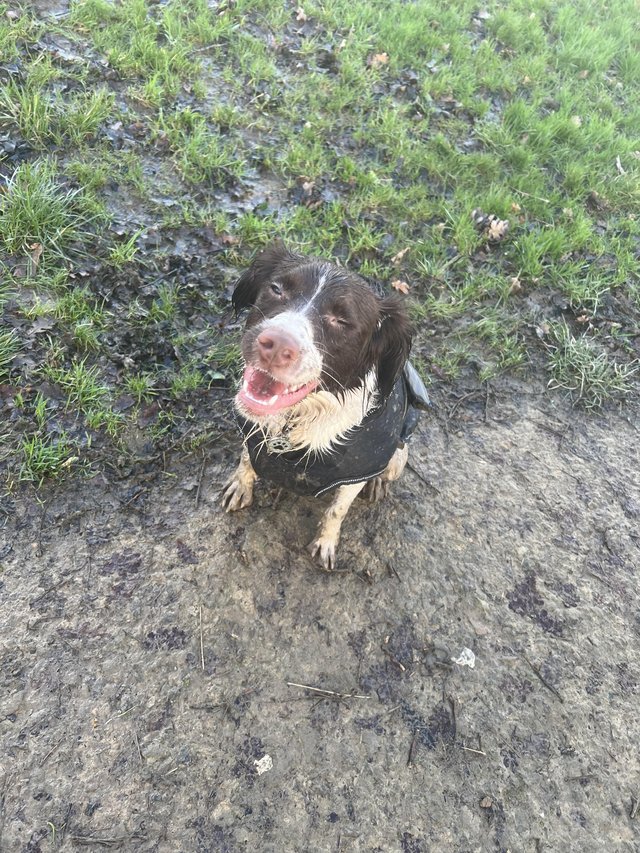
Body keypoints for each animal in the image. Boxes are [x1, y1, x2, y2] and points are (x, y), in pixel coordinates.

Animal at [222, 243, 428, 568]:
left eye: (342, 322)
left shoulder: (354, 475)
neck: (294, 421)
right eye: (277, 289)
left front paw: (326, 542)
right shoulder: (250, 432)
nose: (276, 345)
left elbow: (337, 510)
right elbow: (245, 461)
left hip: (397, 457)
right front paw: (241, 485)